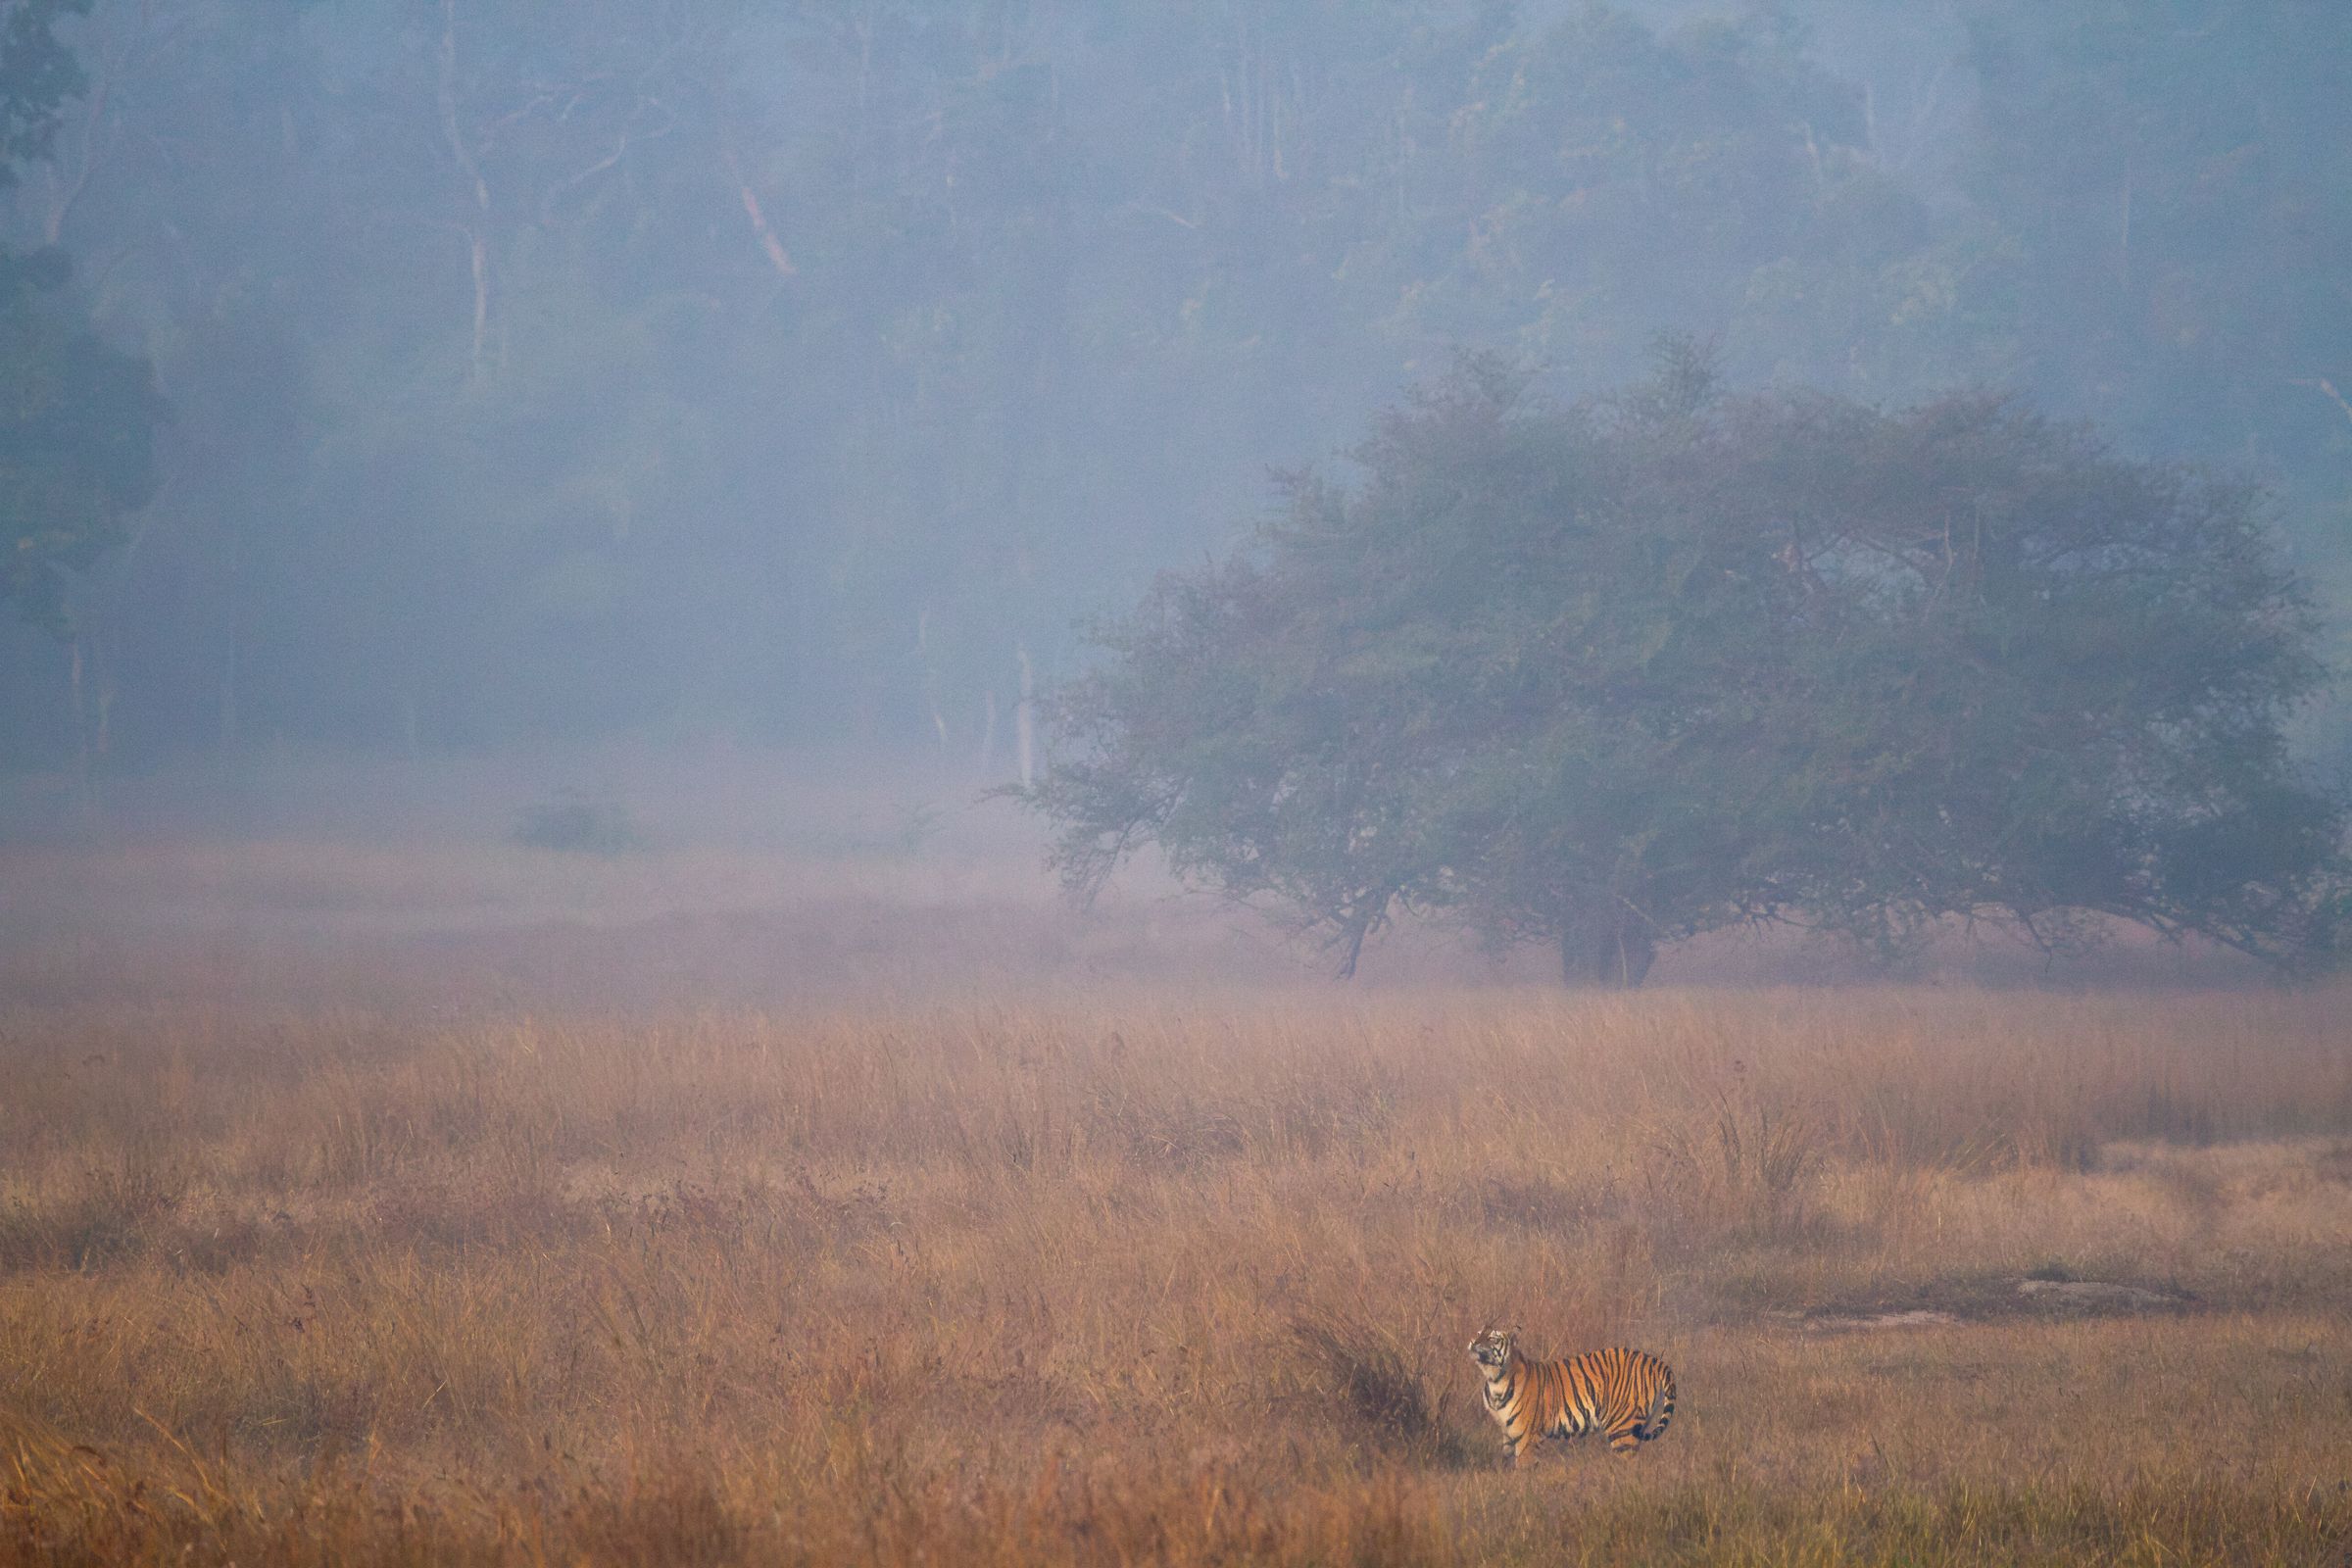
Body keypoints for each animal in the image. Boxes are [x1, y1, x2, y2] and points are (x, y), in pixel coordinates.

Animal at [1467, 1327, 1675, 1467]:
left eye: (1492, 1338)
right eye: (1478, 1333)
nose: (1473, 1341)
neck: (1494, 1379)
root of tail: (1651, 1359)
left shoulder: (1527, 1436)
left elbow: (1523, 1468)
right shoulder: (1507, 1433)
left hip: (1622, 1428)